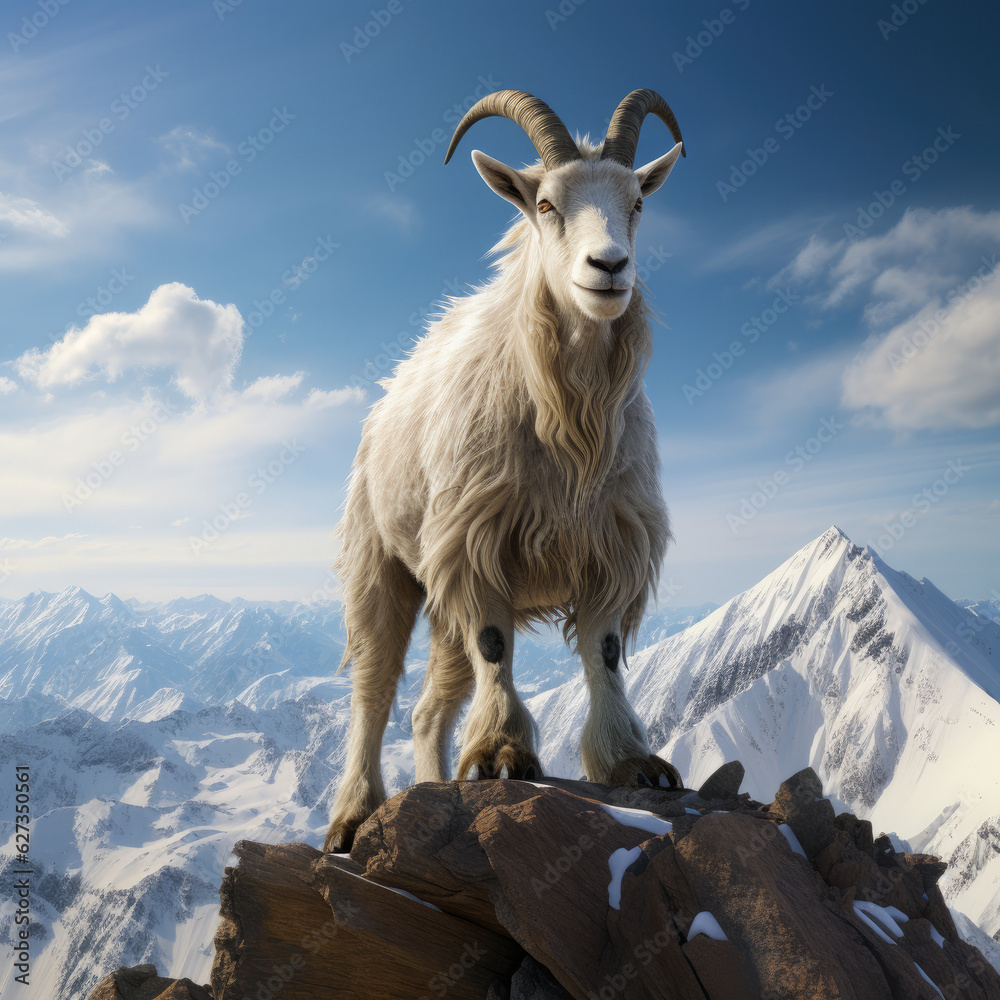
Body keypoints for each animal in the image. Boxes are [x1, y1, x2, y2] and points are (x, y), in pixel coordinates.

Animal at [325, 89, 685, 853]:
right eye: (545, 203)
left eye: (637, 200)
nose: (608, 267)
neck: (569, 426)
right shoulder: (475, 539)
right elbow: (494, 643)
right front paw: (500, 754)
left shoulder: (610, 541)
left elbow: (605, 651)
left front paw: (631, 761)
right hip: (383, 564)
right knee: (374, 688)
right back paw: (352, 816)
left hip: (439, 597)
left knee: (429, 709)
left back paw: (433, 786)